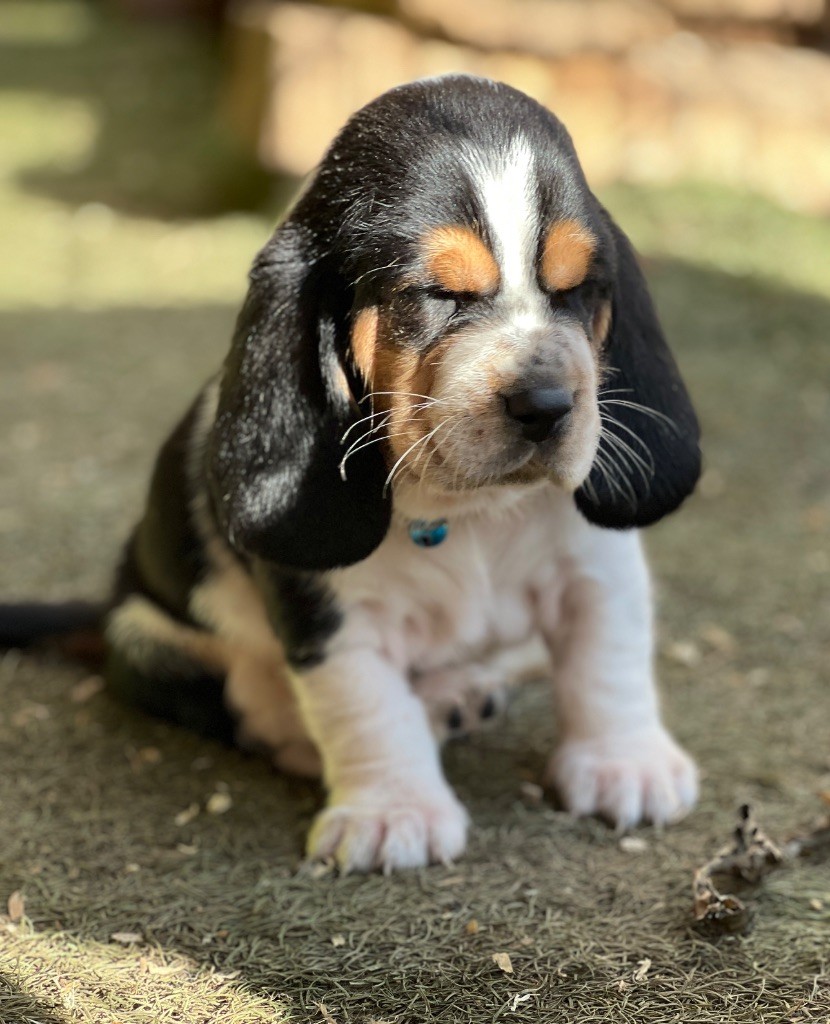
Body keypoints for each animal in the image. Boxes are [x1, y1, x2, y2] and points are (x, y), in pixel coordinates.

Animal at [3, 75, 700, 872]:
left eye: (579, 289)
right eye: (438, 294)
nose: (548, 405)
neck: (469, 515)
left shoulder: (595, 568)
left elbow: (608, 661)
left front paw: (625, 765)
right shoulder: (328, 614)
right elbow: (366, 705)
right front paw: (394, 811)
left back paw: (458, 692)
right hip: (154, 640)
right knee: (253, 702)